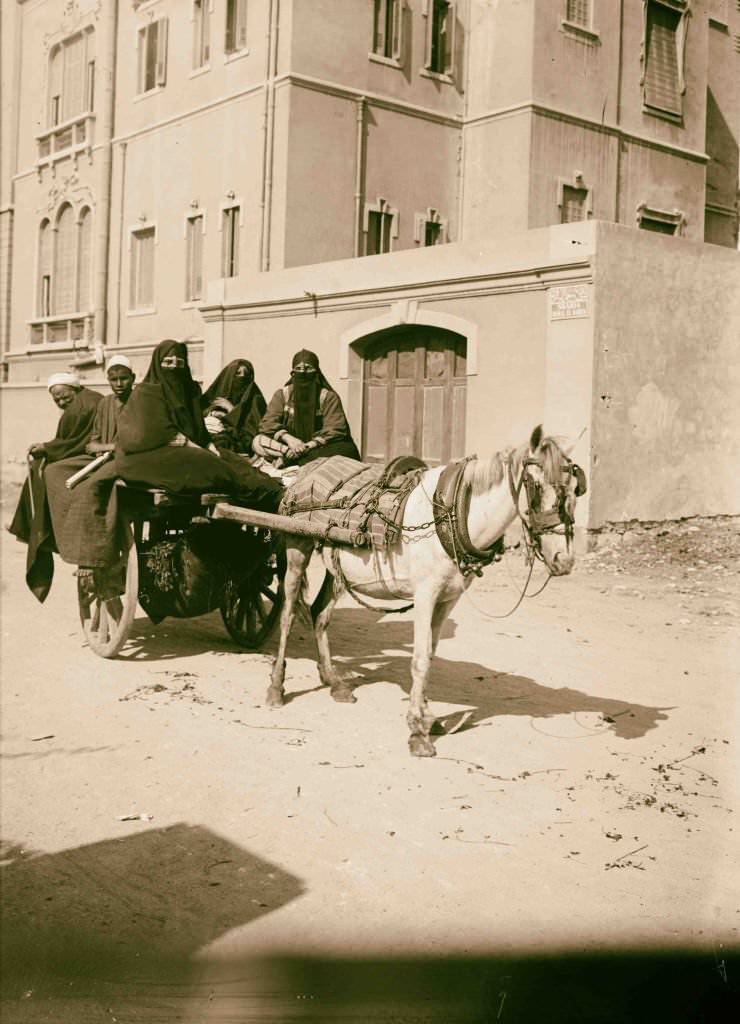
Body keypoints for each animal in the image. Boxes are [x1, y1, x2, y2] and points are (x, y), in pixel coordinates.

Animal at [270, 423, 589, 753]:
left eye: (575, 488)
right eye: (536, 486)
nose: (563, 559)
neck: (453, 512)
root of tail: (306, 470)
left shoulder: (448, 599)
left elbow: (431, 655)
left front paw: (427, 717)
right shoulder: (425, 595)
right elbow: (420, 659)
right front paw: (416, 731)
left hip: (339, 566)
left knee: (320, 614)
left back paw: (333, 681)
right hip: (298, 548)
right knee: (288, 614)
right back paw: (276, 687)